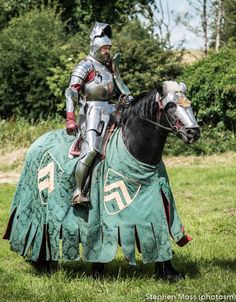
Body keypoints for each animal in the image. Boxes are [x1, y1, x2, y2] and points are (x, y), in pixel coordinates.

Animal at [3, 84, 199, 280]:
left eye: (189, 103)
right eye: (171, 106)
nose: (193, 132)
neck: (134, 148)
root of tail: (36, 143)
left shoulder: (158, 201)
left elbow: (161, 229)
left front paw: (168, 272)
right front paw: (98, 270)